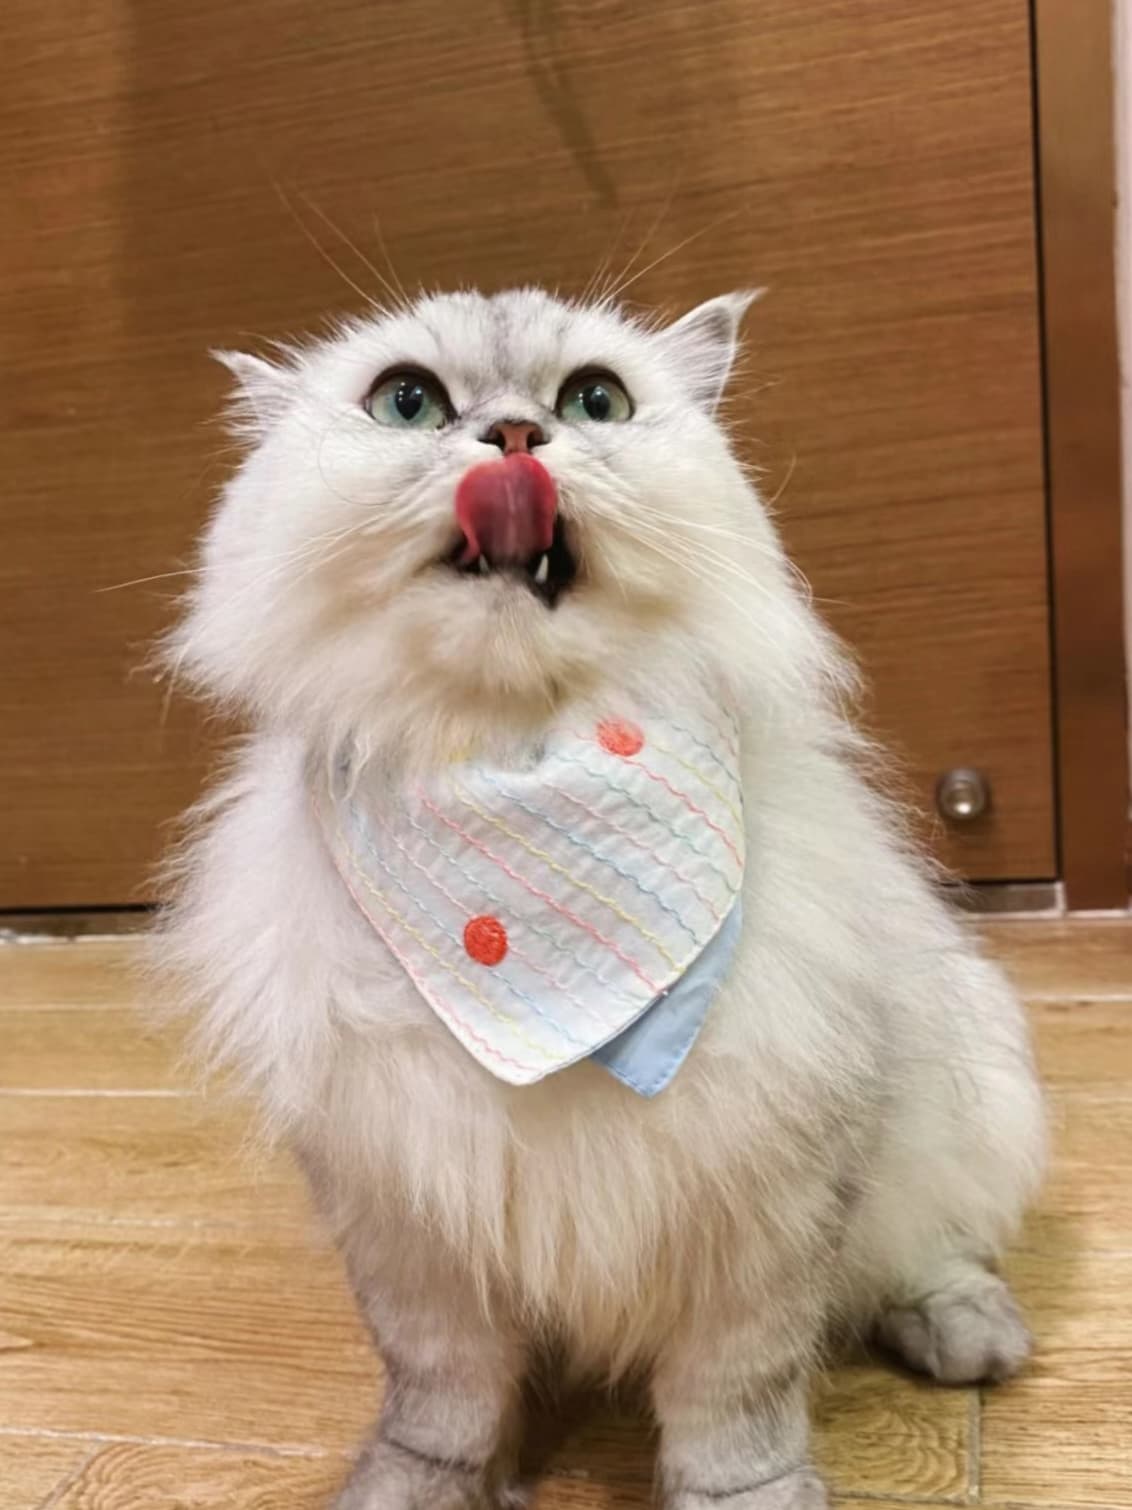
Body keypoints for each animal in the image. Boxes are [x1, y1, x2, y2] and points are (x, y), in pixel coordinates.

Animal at [155, 285, 1050, 1510]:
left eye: (593, 401)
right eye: (408, 402)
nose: (516, 438)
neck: (522, 761)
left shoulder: (766, 1202)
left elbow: (738, 1414)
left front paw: (748, 1500)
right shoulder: (402, 1219)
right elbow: (440, 1403)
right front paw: (426, 1487)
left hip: (972, 1087)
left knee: (937, 1249)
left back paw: (966, 1338)